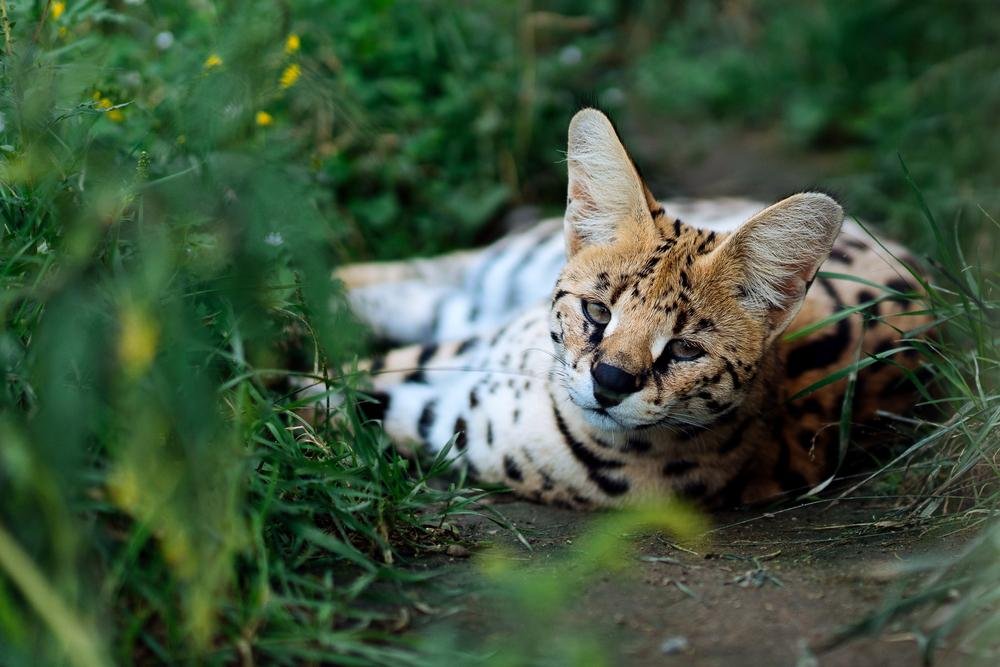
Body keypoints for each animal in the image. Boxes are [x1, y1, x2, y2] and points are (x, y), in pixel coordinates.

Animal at [324, 109, 924, 508]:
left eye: (684, 349)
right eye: (597, 312)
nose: (610, 381)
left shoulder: (444, 416)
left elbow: (340, 390)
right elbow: (337, 378)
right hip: (504, 270)